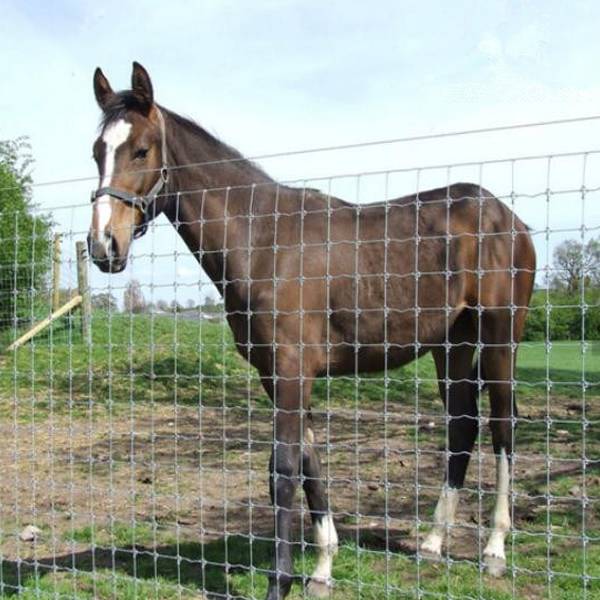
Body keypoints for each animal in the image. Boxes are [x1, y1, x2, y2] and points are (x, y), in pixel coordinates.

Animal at [85, 62, 536, 600]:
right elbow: (309, 464)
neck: (264, 240)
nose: (103, 246)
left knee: (503, 425)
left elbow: (281, 470)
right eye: (96, 152)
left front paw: (280, 581)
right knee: (462, 424)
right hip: (451, 345)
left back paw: (495, 548)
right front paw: (321, 567)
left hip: (500, 337)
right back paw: (432, 541)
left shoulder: (291, 370)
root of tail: (510, 218)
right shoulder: (276, 375)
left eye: (141, 149)